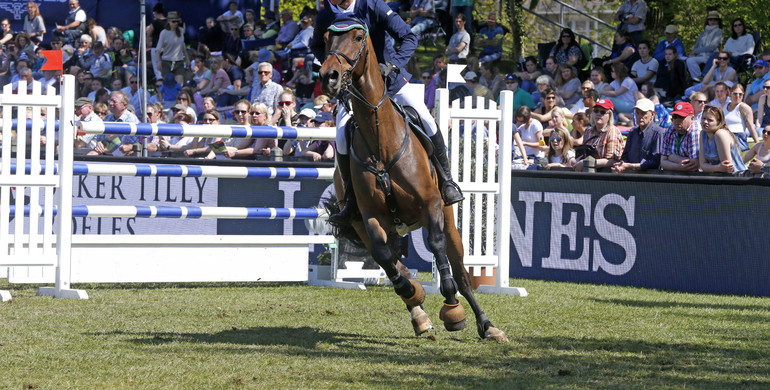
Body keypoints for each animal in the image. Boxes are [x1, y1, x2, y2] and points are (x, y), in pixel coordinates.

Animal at [316, 18, 504, 342]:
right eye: (327, 38)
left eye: (358, 37)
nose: (329, 77)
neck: (381, 140)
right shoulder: (370, 217)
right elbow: (386, 259)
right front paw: (413, 293)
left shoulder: (431, 206)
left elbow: (438, 247)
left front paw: (451, 306)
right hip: (365, 224)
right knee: (390, 260)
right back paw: (419, 315)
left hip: (449, 219)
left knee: (463, 273)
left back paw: (486, 325)